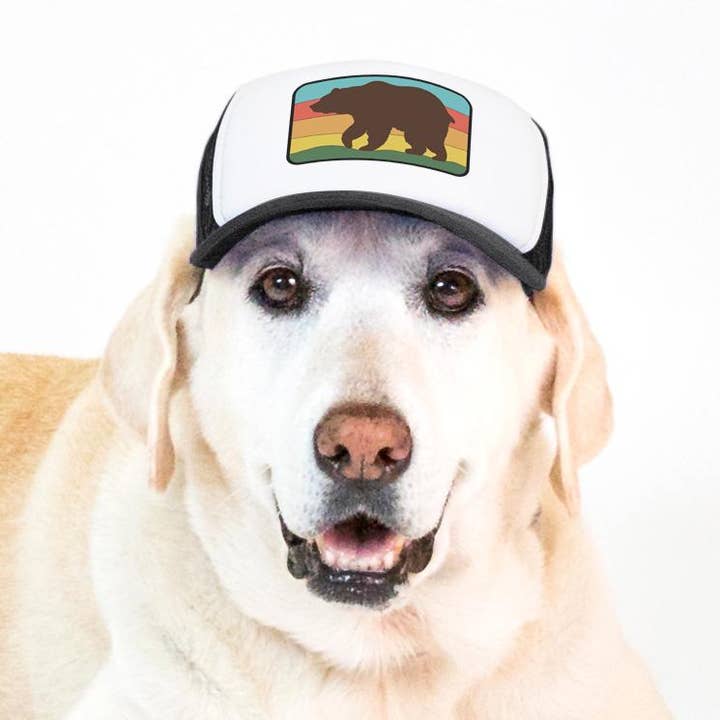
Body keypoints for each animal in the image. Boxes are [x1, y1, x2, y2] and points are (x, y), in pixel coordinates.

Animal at [309, 81, 455, 162]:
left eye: (323, 99)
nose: (312, 106)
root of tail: (447, 114)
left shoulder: (379, 112)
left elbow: (377, 131)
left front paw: (365, 147)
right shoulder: (363, 115)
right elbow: (358, 127)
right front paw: (350, 142)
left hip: (428, 121)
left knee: (433, 140)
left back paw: (438, 157)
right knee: (415, 138)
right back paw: (412, 150)